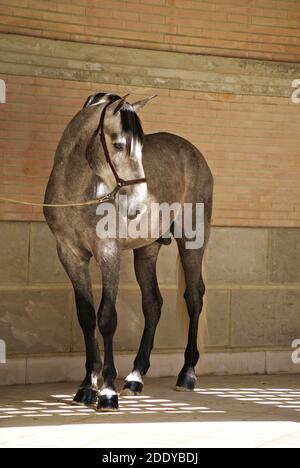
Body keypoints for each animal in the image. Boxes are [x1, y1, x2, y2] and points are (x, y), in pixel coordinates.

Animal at [44, 90, 213, 410]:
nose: (137, 204)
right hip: (146, 250)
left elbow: (107, 317)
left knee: (194, 298)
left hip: (192, 241)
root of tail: (194, 153)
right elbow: (86, 316)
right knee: (153, 303)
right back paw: (136, 376)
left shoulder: (108, 253)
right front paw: (88, 386)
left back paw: (187, 374)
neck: (80, 194)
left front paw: (107, 391)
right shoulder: (69, 255)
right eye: (119, 144)